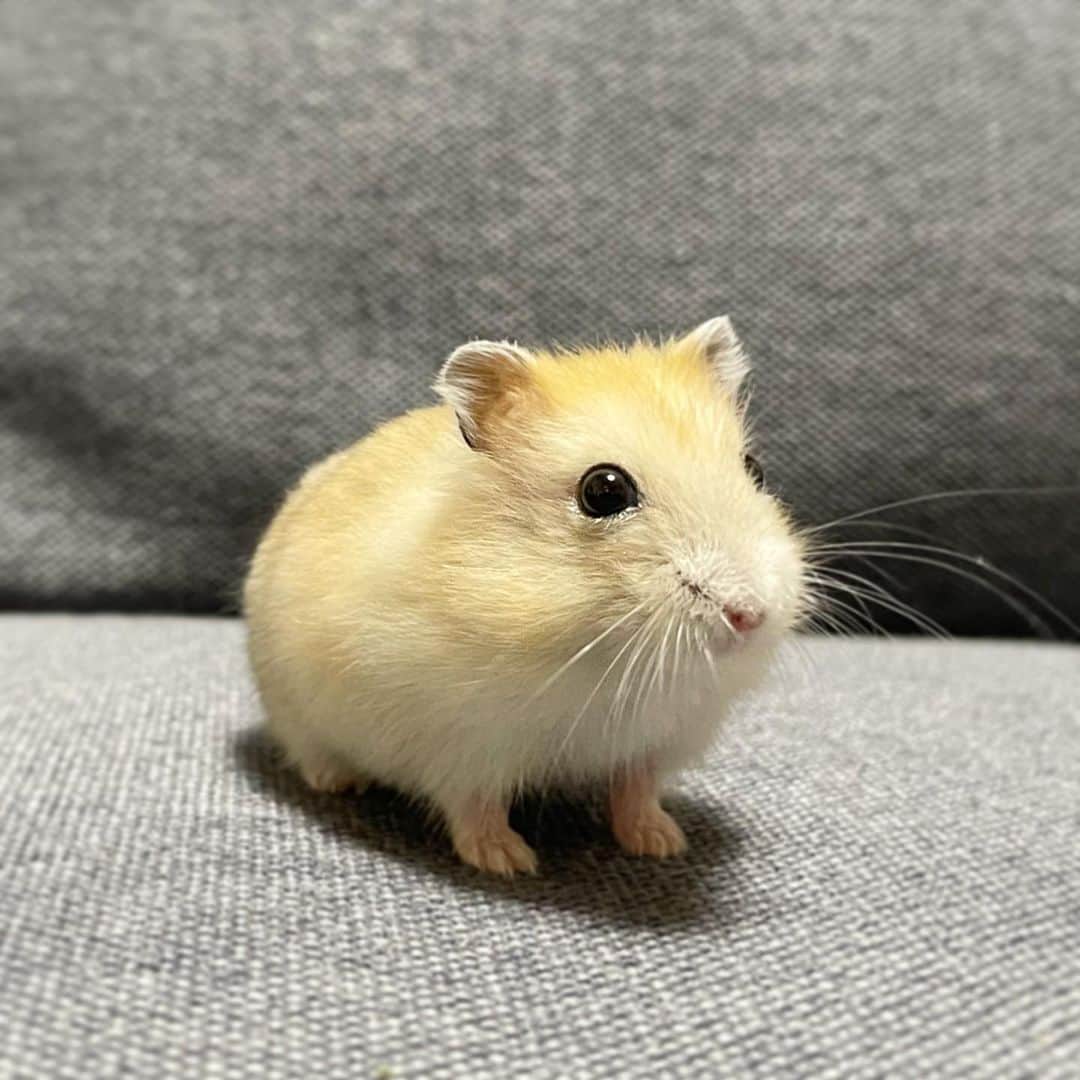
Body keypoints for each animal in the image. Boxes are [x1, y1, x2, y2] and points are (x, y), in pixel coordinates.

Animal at [243, 317, 807, 875]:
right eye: (603, 490)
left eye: (754, 468)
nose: (749, 615)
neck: (599, 655)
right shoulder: (462, 746)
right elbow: (476, 807)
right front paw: (509, 862)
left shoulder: (657, 740)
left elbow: (636, 792)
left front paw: (663, 842)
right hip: (295, 714)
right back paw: (340, 783)